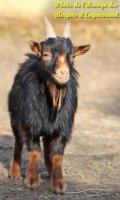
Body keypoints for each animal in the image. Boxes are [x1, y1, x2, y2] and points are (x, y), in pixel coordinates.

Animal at [7, 17, 90, 194]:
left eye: (73, 56)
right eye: (46, 54)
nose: (64, 73)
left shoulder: (63, 127)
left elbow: (57, 155)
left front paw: (58, 184)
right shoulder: (31, 124)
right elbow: (34, 151)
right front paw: (32, 181)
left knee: (46, 144)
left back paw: (50, 171)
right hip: (15, 119)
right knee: (18, 141)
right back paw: (14, 172)